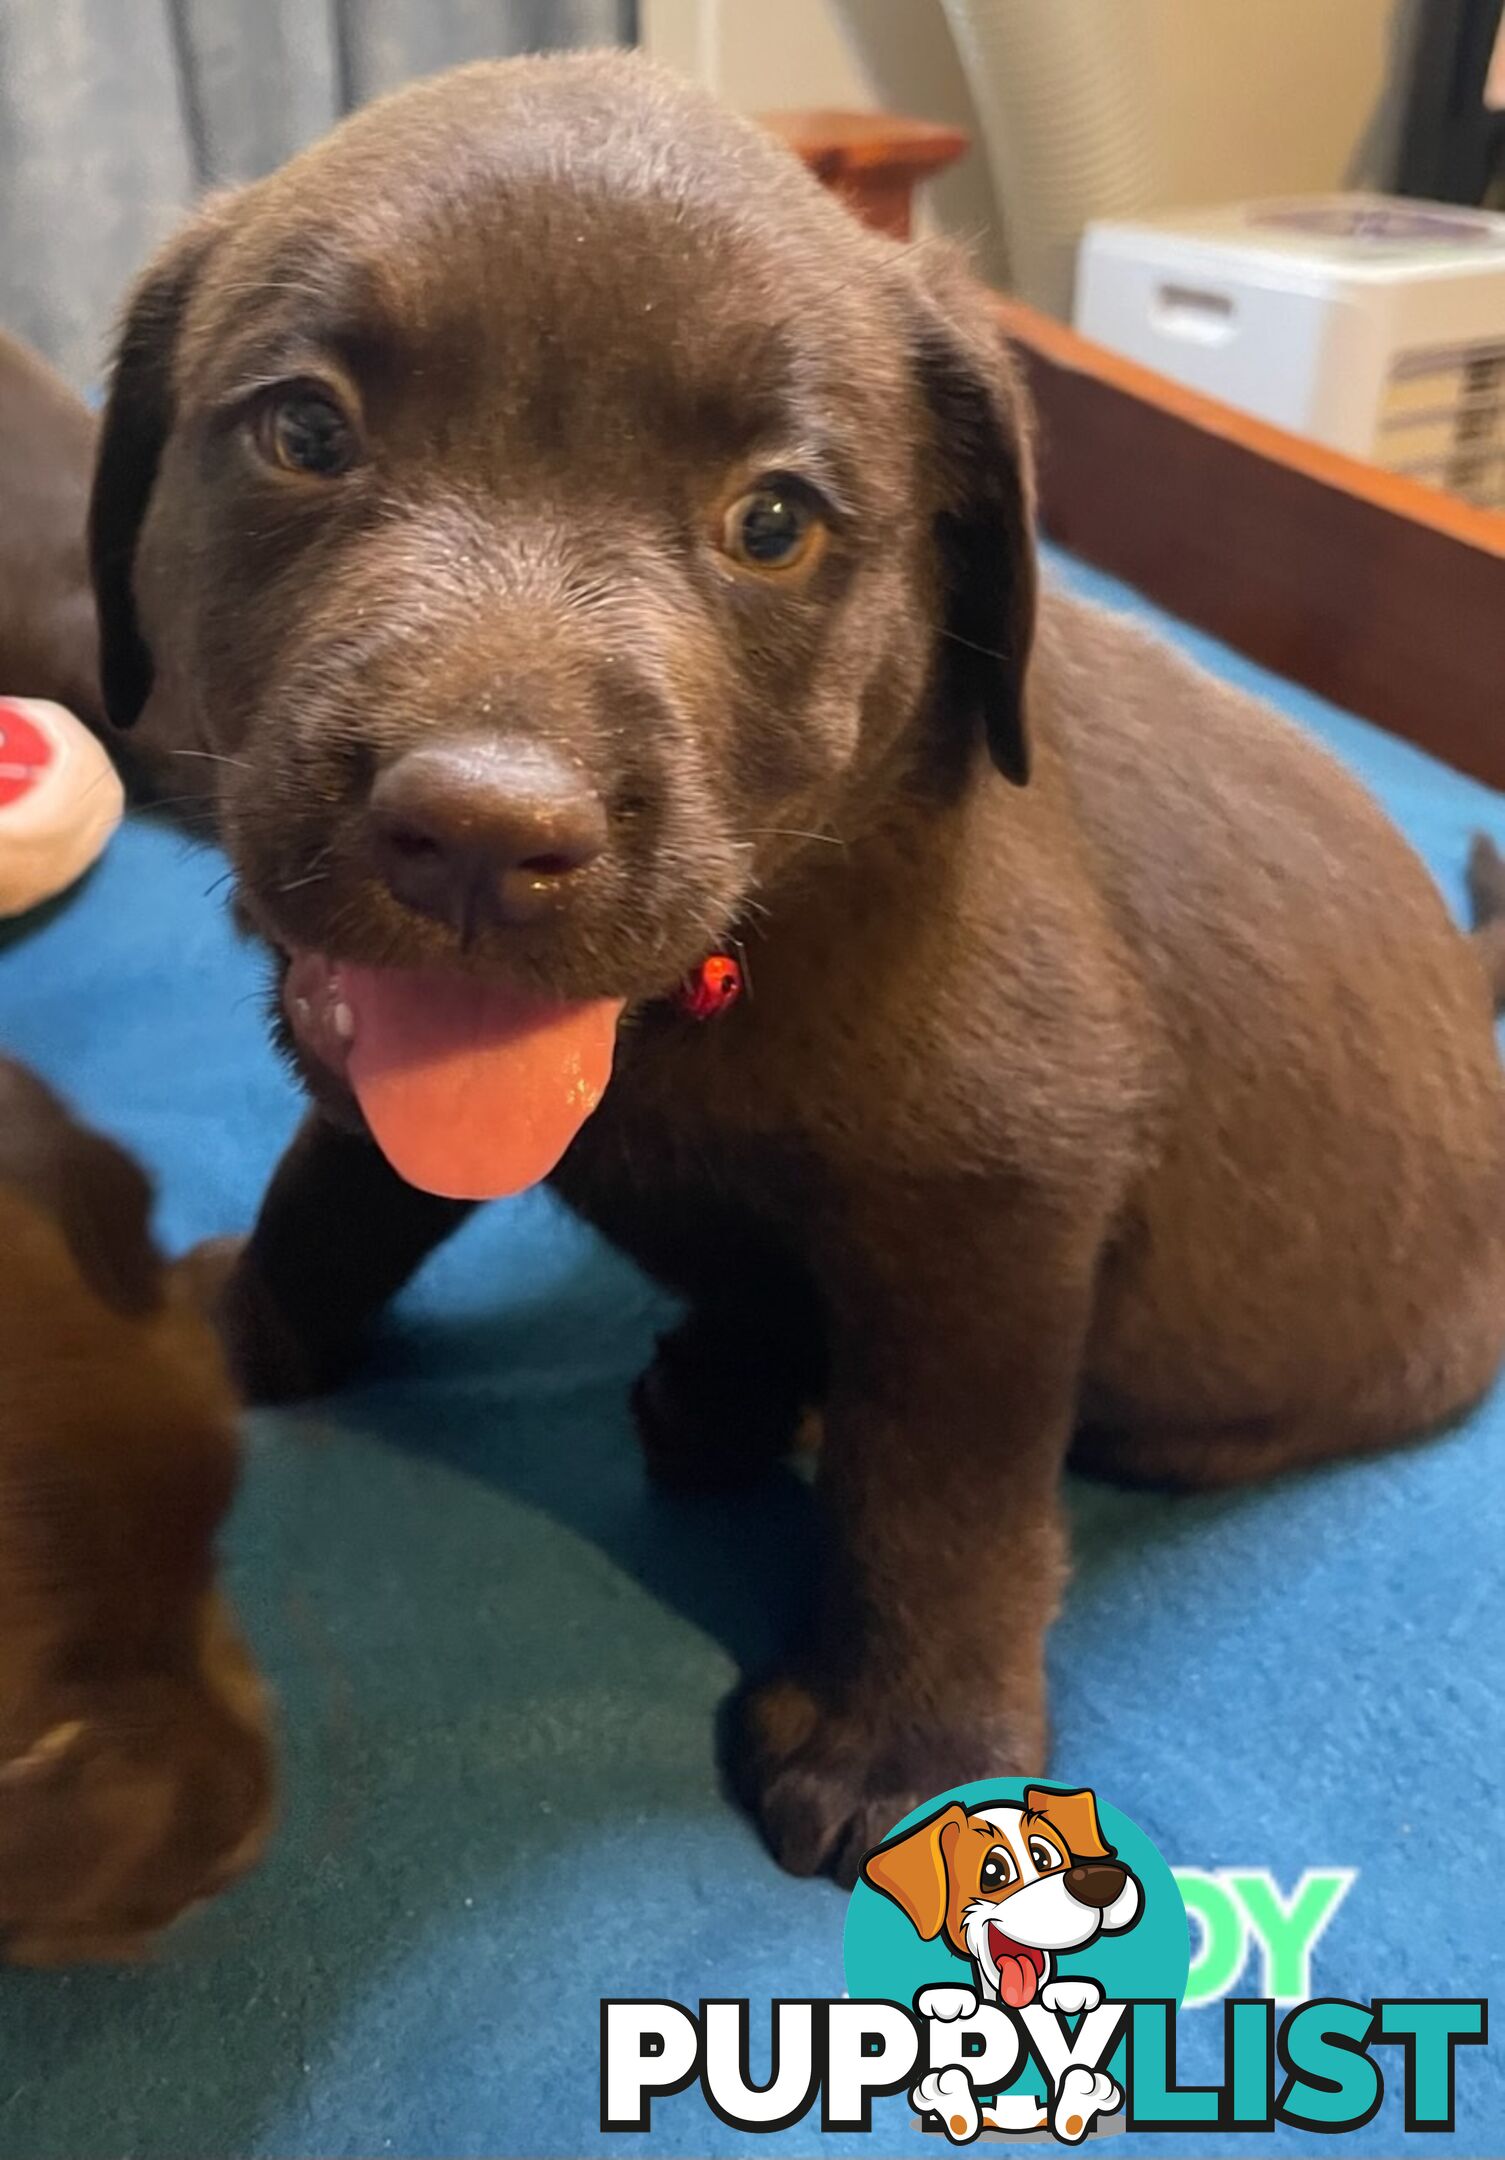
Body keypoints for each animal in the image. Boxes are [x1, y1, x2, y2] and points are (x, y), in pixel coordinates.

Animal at [87, 46, 1502, 1874]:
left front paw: (917, 1747)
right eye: (306, 434)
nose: (478, 833)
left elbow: (942, 1486)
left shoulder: (997, 1212)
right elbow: (327, 1207)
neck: (725, 978)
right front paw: (235, 1332)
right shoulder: (394, 1088)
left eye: (773, 523)